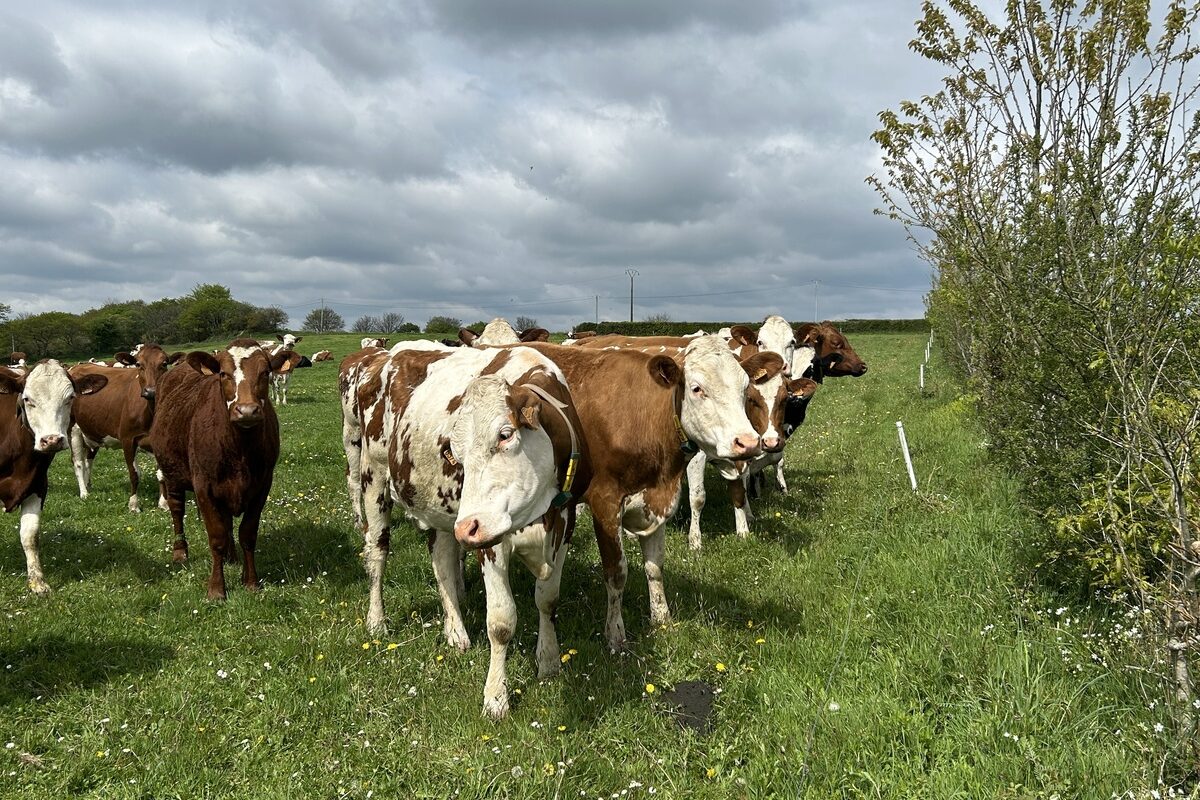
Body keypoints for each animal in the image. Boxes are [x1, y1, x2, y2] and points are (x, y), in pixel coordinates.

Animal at [0, 361, 107, 594]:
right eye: (27, 399)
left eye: (70, 398)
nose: (51, 440)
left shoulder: (37, 485)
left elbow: (30, 535)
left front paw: (37, 582)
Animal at [68, 344, 184, 512]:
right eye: (138, 364)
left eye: (164, 364)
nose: (151, 391)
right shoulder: (128, 440)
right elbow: (134, 474)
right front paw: (134, 505)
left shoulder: (159, 441)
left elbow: (161, 474)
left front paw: (163, 503)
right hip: (73, 430)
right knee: (78, 462)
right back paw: (84, 493)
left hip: (92, 432)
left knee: (88, 460)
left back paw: (89, 485)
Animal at [149, 339, 304, 600]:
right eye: (223, 373)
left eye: (265, 372)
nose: (247, 410)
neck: (240, 449)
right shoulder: (204, 487)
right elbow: (217, 537)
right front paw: (216, 589)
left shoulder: (262, 485)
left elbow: (247, 534)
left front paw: (250, 581)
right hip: (171, 473)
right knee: (177, 510)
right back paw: (180, 551)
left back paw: (232, 557)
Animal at [344, 343, 590, 717]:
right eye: (454, 453)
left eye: (505, 435)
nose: (468, 526)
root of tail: (385, 356)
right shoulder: (488, 538)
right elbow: (501, 621)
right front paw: (496, 697)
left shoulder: (565, 520)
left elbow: (548, 599)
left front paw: (548, 662)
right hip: (375, 477)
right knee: (377, 552)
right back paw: (377, 620)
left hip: (441, 510)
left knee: (442, 563)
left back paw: (455, 630)